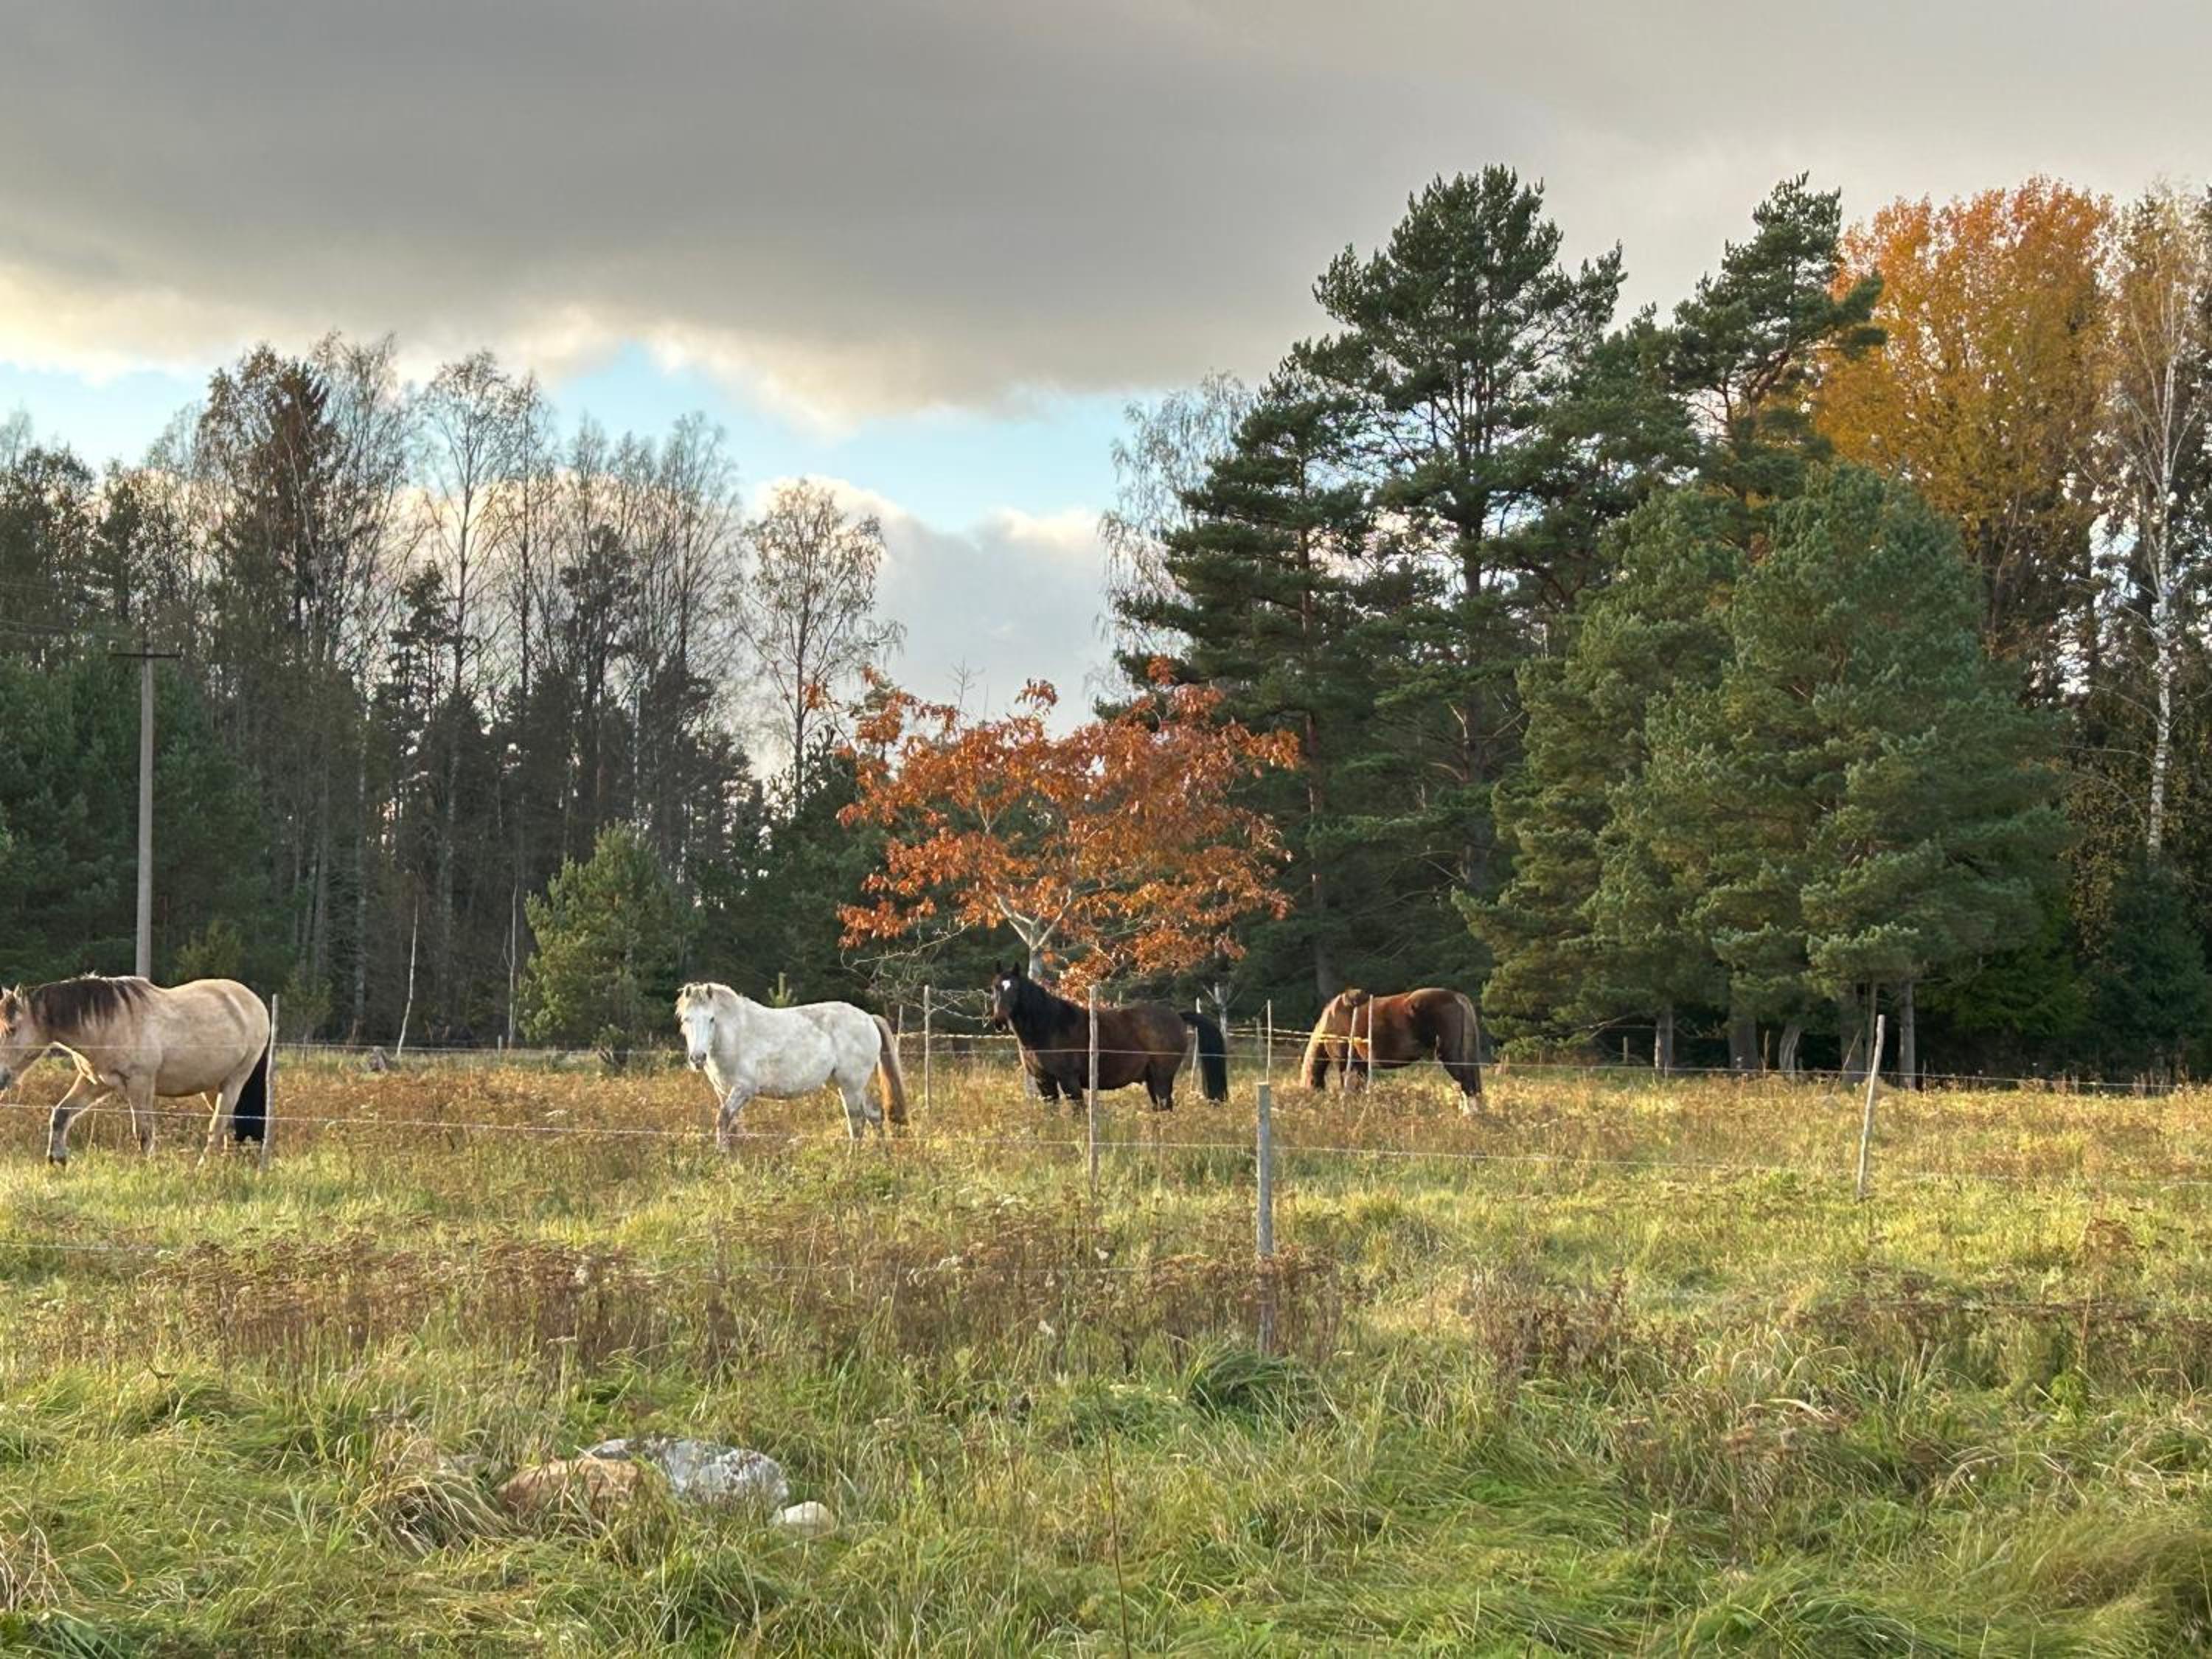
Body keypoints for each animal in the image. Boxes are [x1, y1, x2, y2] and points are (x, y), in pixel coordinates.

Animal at [0, 975, 273, 1165]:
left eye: (12, 1029)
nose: (1, 1078)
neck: (107, 1024)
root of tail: (255, 1004)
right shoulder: (95, 1083)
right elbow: (61, 1114)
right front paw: (57, 1160)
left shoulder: (140, 1084)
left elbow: (143, 1132)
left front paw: (146, 1168)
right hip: (212, 1087)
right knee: (228, 1127)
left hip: (234, 1081)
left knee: (217, 1127)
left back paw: (203, 1168)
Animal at [675, 982, 909, 1150]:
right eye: (686, 1019)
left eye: (712, 1019)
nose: (698, 1058)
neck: (736, 1035)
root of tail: (869, 1018)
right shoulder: (723, 1091)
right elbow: (731, 1124)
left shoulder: (744, 1089)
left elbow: (723, 1119)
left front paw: (722, 1155)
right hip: (848, 1086)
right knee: (874, 1115)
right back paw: (883, 1156)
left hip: (851, 1086)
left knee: (857, 1122)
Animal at [986, 964, 1227, 1110]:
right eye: (995, 987)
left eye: (1015, 989)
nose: (999, 1020)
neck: (1048, 1027)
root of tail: (1177, 1015)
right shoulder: (1044, 1081)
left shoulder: (1069, 1080)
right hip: (1152, 1078)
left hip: (1162, 1077)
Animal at [1299, 986, 1484, 1106]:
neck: (1333, 1018)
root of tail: (1457, 997)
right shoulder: (1361, 1066)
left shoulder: (1345, 1063)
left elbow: (1347, 1089)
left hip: (1450, 1056)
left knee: (1467, 1085)